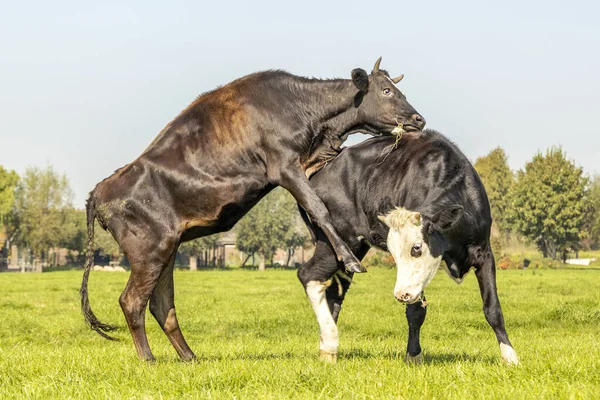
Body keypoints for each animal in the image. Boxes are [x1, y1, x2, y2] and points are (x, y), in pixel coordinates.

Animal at [300, 130, 520, 364]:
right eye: (394, 254)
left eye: (416, 248)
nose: (400, 294)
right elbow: (416, 313)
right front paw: (414, 355)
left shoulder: (484, 252)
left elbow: (493, 308)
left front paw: (510, 357)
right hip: (339, 241)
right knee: (308, 275)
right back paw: (330, 341)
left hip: (351, 253)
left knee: (335, 292)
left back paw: (328, 350)